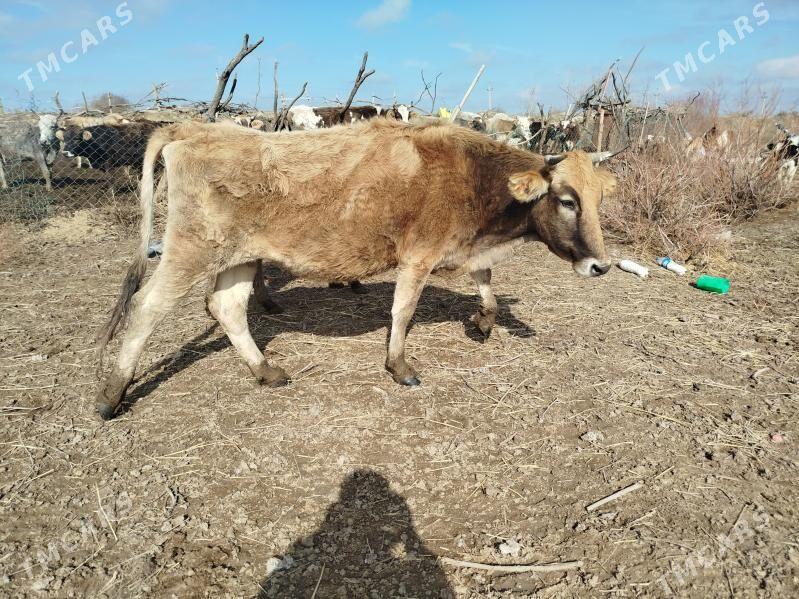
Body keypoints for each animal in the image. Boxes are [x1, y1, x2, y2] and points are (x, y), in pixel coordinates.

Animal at [94, 119, 619, 420]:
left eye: (598, 199)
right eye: (567, 200)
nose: (601, 266)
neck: (474, 178)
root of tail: (189, 128)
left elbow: (485, 282)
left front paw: (484, 320)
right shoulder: (418, 255)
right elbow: (403, 312)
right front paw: (399, 366)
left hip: (239, 257)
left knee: (227, 308)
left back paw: (265, 370)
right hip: (191, 251)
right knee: (146, 307)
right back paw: (112, 394)